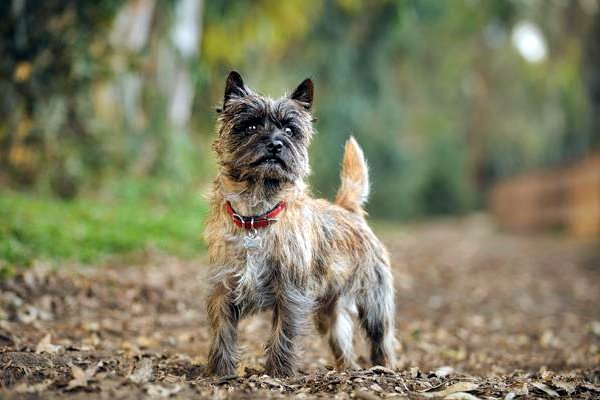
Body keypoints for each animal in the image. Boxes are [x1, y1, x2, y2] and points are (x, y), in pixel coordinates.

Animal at [204, 70, 396, 376]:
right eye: (250, 126)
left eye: (290, 130)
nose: (275, 144)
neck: (256, 214)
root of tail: (348, 209)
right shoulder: (223, 287)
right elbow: (222, 331)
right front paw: (220, 373)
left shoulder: (290, 293)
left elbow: (283, 334)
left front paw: (278, 373)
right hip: (330, 312)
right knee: (343, 343)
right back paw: (346, 370)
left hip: (374, 303)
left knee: (382, 339)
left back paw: (384, 368)